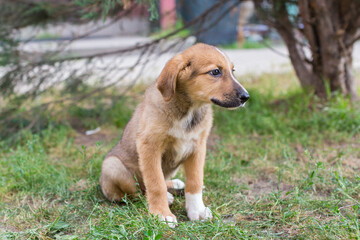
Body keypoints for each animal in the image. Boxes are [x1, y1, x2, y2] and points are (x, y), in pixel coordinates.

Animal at [100, 43, 249, 227]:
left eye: (233, 70)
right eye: (215, 72)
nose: (246, 97)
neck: (189, 112)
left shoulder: (198, 147)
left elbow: (195, 182)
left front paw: (197, 210)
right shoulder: (149, 146)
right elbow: (155, 184)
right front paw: (161, 214)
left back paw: (175, 184)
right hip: (113, 166)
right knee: (135, 192)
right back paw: (165, 196)